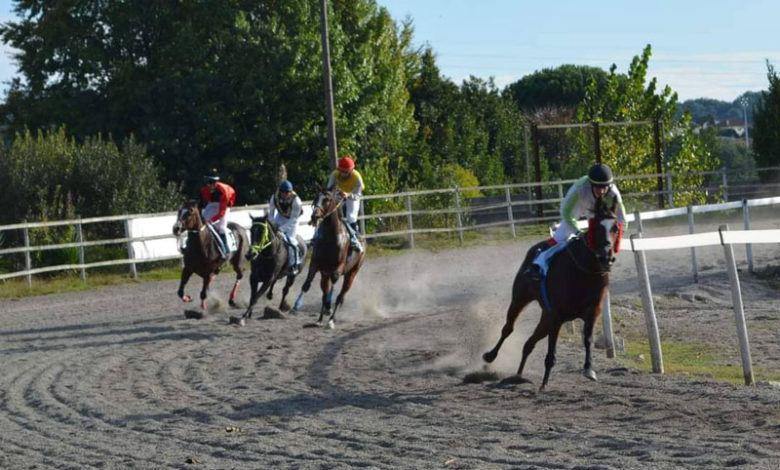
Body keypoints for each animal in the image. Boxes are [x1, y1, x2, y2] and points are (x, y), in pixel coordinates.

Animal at [292, 187, 366, 328]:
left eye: (327, 200)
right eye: (316, 198)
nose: (314, 216)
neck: (330, 238)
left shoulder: (337, 269)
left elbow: (332, 291)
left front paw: (329, 315)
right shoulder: (315, 265)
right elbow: (307, 285)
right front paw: (295, 306)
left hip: (352, 273)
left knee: (340, 295)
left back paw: (331, 319)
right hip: (325, 275)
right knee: (327, 292)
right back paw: (322, 316)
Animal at [482, 197, 623, 390]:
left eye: (615, 227)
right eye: (596, 227)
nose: (606, 257)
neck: (585, 271)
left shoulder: (591, 312)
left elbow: (587, 339)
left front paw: (589, 369)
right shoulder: (557, 315)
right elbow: (551, 351)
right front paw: (544, 383)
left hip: (545, 317)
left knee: (529, 343)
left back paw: (518, 375)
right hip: (521, 298)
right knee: (508, 328)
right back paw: (491, 356)